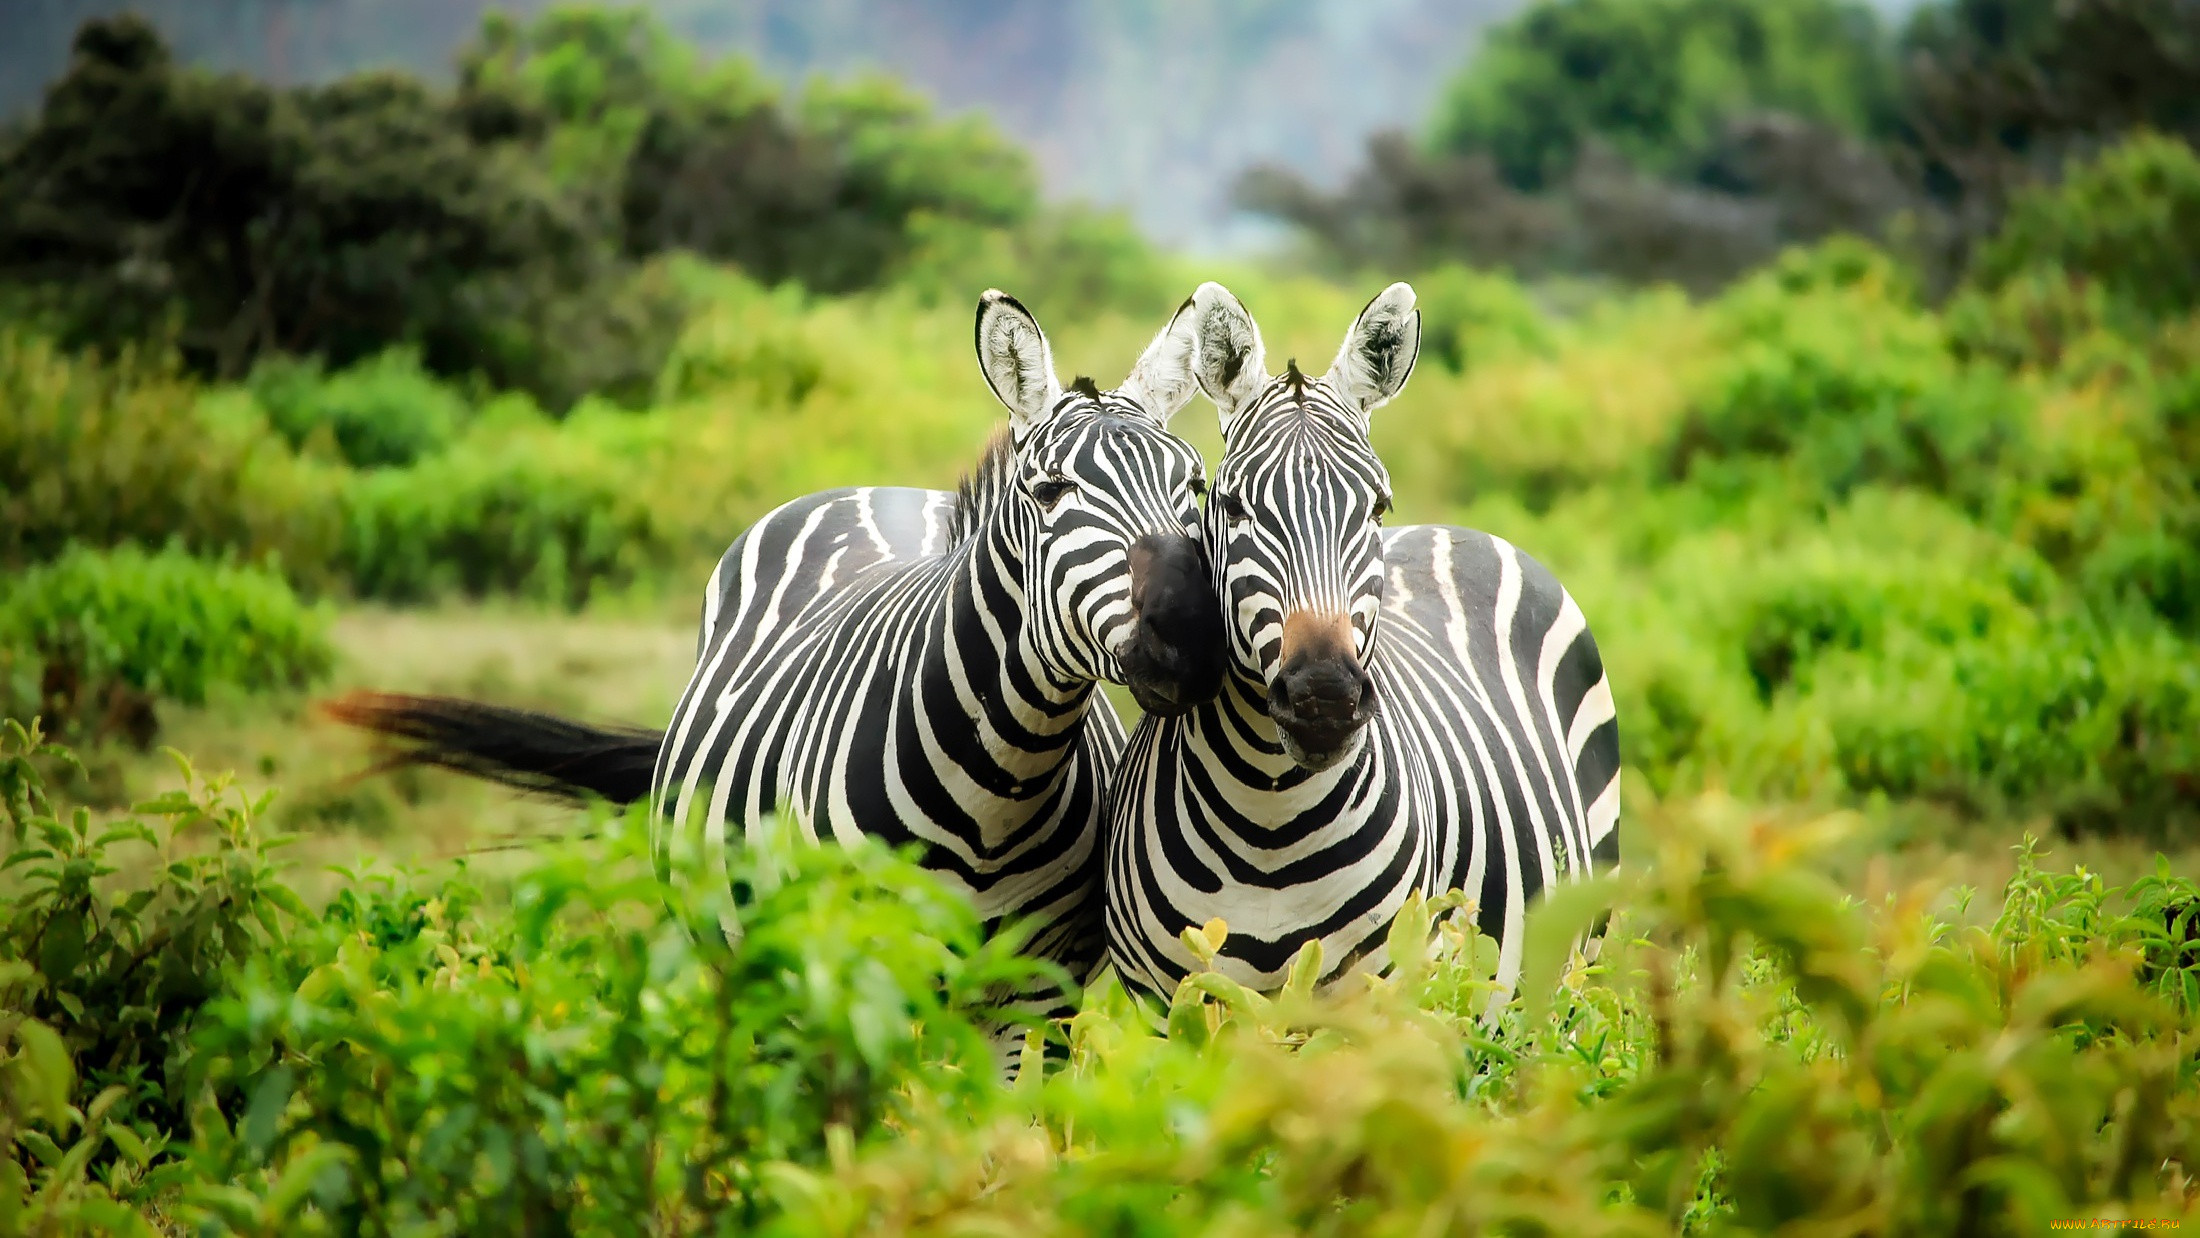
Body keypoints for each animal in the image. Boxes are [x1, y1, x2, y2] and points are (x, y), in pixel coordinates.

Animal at [327, 290, 1232, 1029]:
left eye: (1195, 487)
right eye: (1050, 493)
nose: (1192, 636)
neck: (998, 787)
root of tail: (877, 491)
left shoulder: (1037, 996)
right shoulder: (850, 972)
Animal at [1108, 283, 1628, 1007]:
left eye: (1376, 507)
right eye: (1232, 506)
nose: (1323, 697)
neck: (1268, 819)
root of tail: (1456, 529)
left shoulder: (1378, 997)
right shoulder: (1169, 1003)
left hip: (1577, 960)